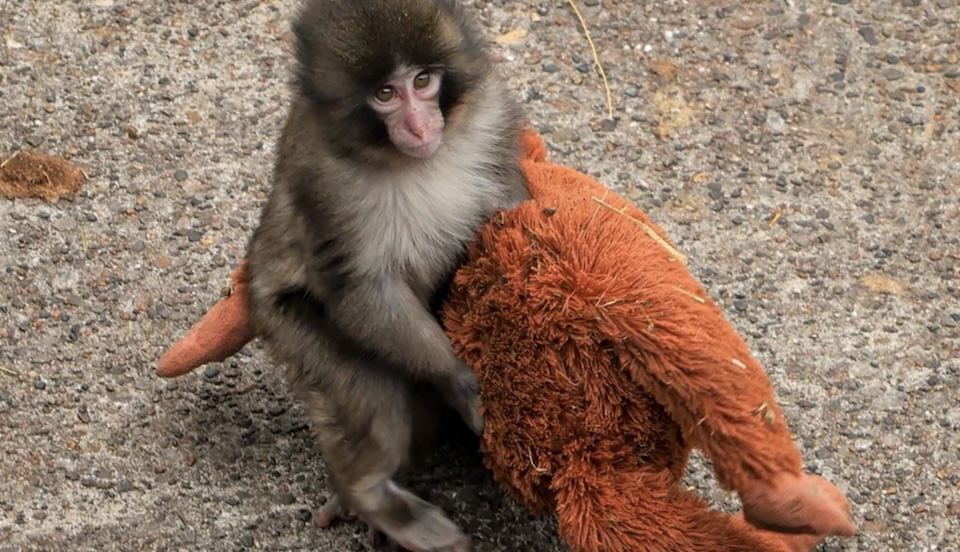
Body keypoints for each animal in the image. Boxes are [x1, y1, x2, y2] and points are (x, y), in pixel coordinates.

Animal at [243, 0, 530, 550]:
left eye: (422, 81)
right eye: (385, 94)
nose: (419, 127)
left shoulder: (492, 119)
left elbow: (514, 206)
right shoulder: (325, 180)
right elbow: (360, 287)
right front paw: (456, 377)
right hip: (285, 324)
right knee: (376, 398)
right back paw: (368, 494)